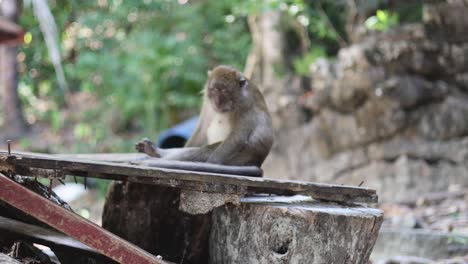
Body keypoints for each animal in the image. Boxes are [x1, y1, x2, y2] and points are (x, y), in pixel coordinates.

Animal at [134, 65, 274, 173]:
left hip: (240, 157)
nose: (217, 102)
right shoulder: (207, 103)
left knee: (205, 150)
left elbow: (238, 136)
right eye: (215, 90)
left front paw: (212, 163)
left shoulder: (245, 104)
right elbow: (201, 129)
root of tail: (256, 161)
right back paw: (156, 152)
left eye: (224, 91)